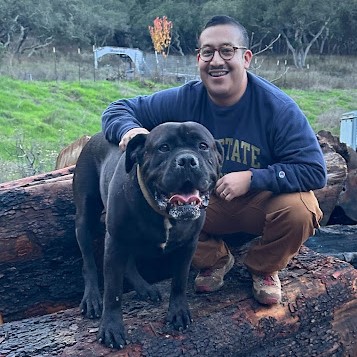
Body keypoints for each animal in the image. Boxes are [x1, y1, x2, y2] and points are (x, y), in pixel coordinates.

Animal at [72, 120, 221, 348]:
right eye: (164, 147)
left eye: (203, 146)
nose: (187, 160)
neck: (163, 212)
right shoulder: (116, 241)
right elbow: (113, 291)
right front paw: (111, 328)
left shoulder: (189, 245)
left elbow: (179, 280)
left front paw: (178, 312)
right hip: (86, 218)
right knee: (88, 260)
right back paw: (92, 298)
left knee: (129, 263)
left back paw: (144, 288)